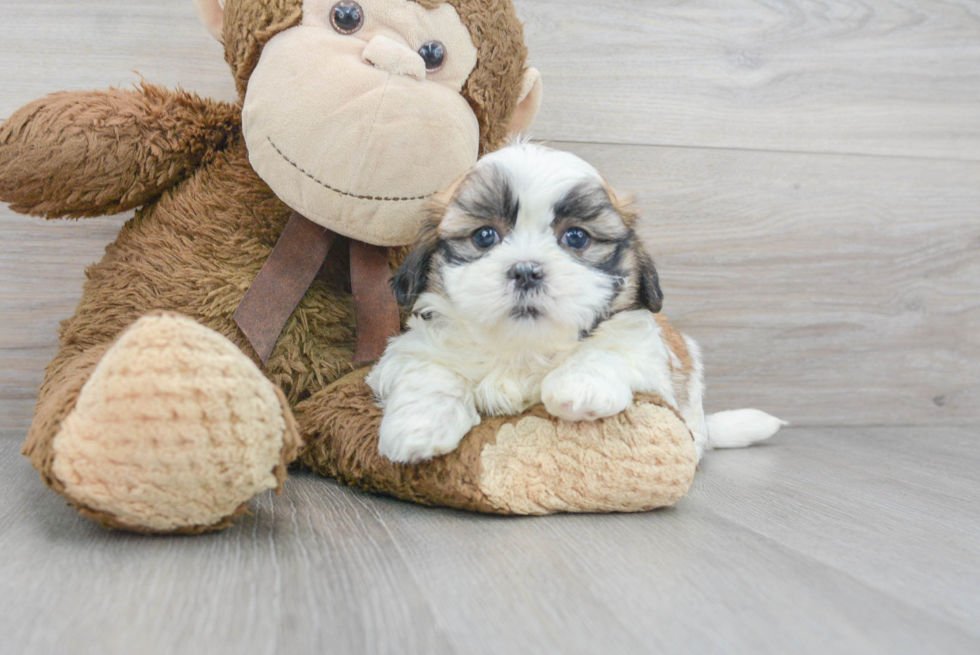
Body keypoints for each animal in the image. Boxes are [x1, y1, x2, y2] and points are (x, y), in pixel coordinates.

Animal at [364, 142, 784, 464]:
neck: (523, 347)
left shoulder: (648, 356)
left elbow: (612, 350)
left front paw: (578, 386)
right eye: (484, 236)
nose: (527, 271)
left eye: (577, 238)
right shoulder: (411, 348)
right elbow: (430, 372)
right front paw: (419, 427)